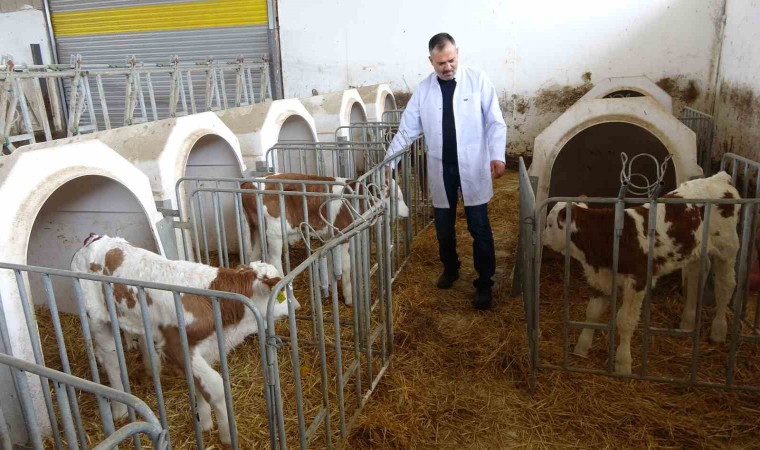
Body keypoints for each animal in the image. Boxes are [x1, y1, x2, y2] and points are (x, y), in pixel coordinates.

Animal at [71, 233, 299, 446]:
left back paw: (151, 369)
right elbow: (216, 387)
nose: (297, 306)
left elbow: (199, 384)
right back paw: (119, 409)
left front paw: (204, 422)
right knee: (110, 360)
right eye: (283, 292)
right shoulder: (178, 347)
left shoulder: (205, 349)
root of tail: (94, 239)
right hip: (96, 319)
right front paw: (227, 434)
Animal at [241, 171, 409, 306]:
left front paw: (328, 286)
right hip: (274, 233)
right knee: (275, 263)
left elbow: (329, 262)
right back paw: (293, 302)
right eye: (397, 198)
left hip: (257, 231)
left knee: (253, 257)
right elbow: (346, 266)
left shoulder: (330, 237)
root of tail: (249, 184)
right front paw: (349, 297)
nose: (408, 212)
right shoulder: (343, 236)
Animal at [541, 171, 741, 375]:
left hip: (727, 247)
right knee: (695, 276)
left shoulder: (638, 281)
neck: (609, 237)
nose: (542, 238)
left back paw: (718, 330)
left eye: (549, 224)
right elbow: (592, 313)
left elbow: (625, 321)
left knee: (725, 285)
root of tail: (719, 178)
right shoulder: (601, 278)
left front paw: (623, 363)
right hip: (694, 250)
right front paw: (581, 348)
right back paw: (687, 322)